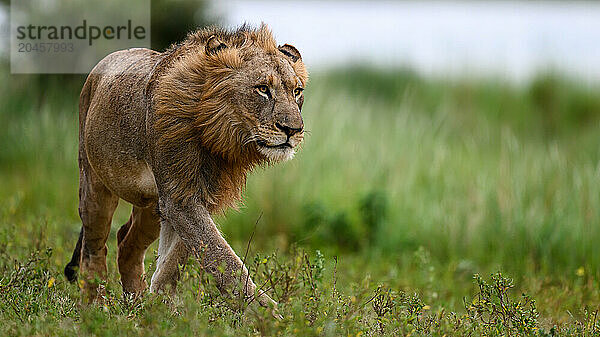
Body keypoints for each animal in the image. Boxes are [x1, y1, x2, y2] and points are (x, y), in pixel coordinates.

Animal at [64, 24, 310, 316]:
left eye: (297, 92)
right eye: (262, 89)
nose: (293, 130)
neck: (219, 136)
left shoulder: (199, 197)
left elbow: (178, 258)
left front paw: (161, 308)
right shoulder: (179, 198)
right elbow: (222, 258)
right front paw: (269, 316)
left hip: (152, 205)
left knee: (126, 242)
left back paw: (135, 304)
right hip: (94, 183)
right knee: (93, 249)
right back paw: (95, 307)